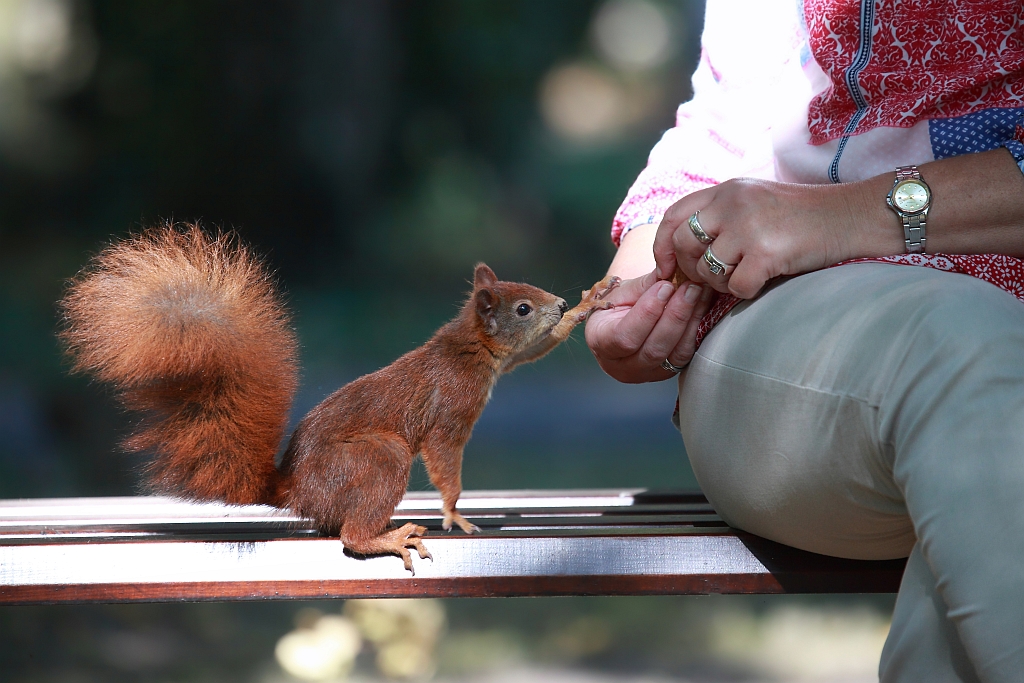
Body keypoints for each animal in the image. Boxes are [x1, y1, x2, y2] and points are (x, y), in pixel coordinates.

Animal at [64, 224, 618, 573]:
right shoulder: (450, 414)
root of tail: (295, 490)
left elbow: (537, 349)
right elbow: (445, 463)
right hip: (378, 458)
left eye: (532, 291)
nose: (558, 303)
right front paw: (454, 513)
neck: (471, 348)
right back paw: (391, 538)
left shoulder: (509, 362)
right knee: (350, 537)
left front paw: (588, 302)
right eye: (522, 307)